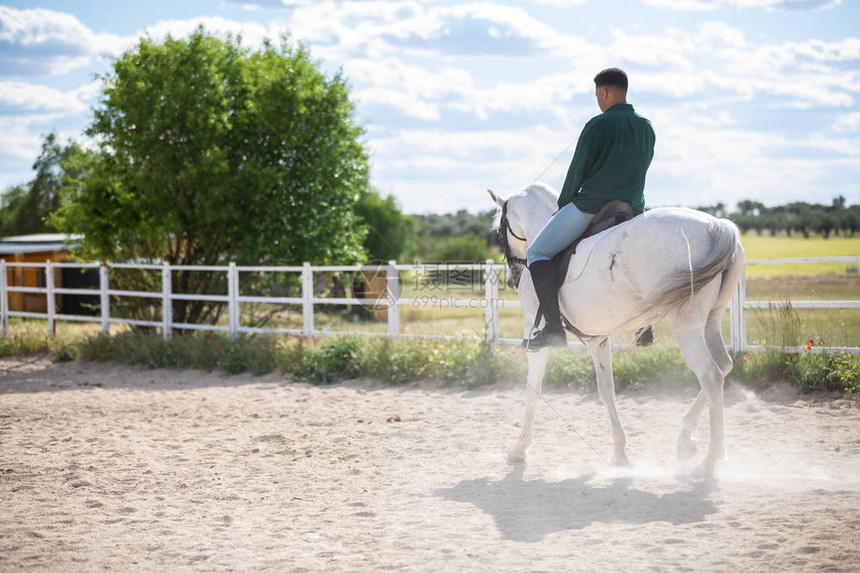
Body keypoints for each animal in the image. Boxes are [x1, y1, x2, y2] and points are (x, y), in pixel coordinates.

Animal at [490, 183, 744, 478]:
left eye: (499, 231)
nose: (512, 280)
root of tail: (718, 226)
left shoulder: (536, 329)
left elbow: (534, 390)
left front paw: (519, 449)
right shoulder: (597, 339)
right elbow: (607, 390)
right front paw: (620, 454)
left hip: (686, 327)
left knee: (711, 377)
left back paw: (709, 462)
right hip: (710, 322)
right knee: (724, 366)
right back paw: (685, 439)